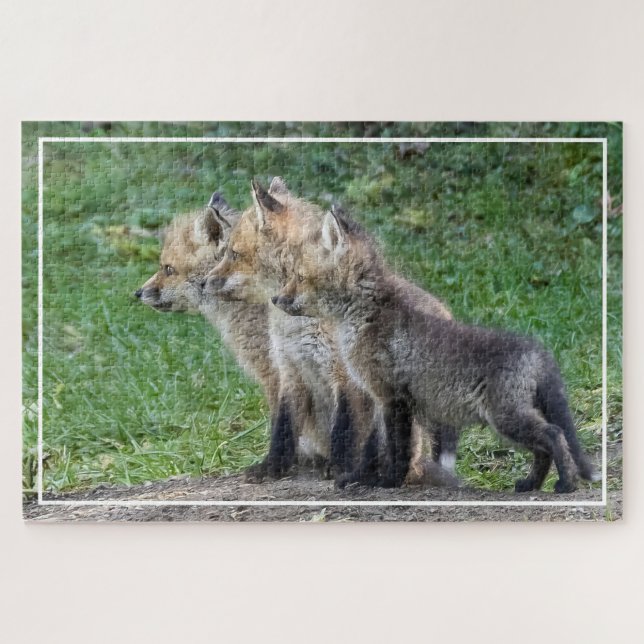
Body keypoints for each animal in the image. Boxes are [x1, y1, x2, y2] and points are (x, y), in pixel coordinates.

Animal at [205, 178, 460, 486]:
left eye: (234, 253)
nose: (204, 282)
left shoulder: (344, 374)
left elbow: (343, 430)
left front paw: (339, 469)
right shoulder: (290, 370)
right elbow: (283, 430)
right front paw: (272, 467)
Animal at [270, 205, 600, 492]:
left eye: (299, 276)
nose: (275, 299)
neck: (365, 315)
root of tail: (537, 349)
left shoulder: (394, 398)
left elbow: (398, 450)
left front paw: (390, 481)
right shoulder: (379, 399)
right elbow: (372, 449)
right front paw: (361, 478)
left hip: (507, 419)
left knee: (554, 435)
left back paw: (567, 484)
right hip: (511, 422)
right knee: (544, 448)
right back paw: (531, 485)